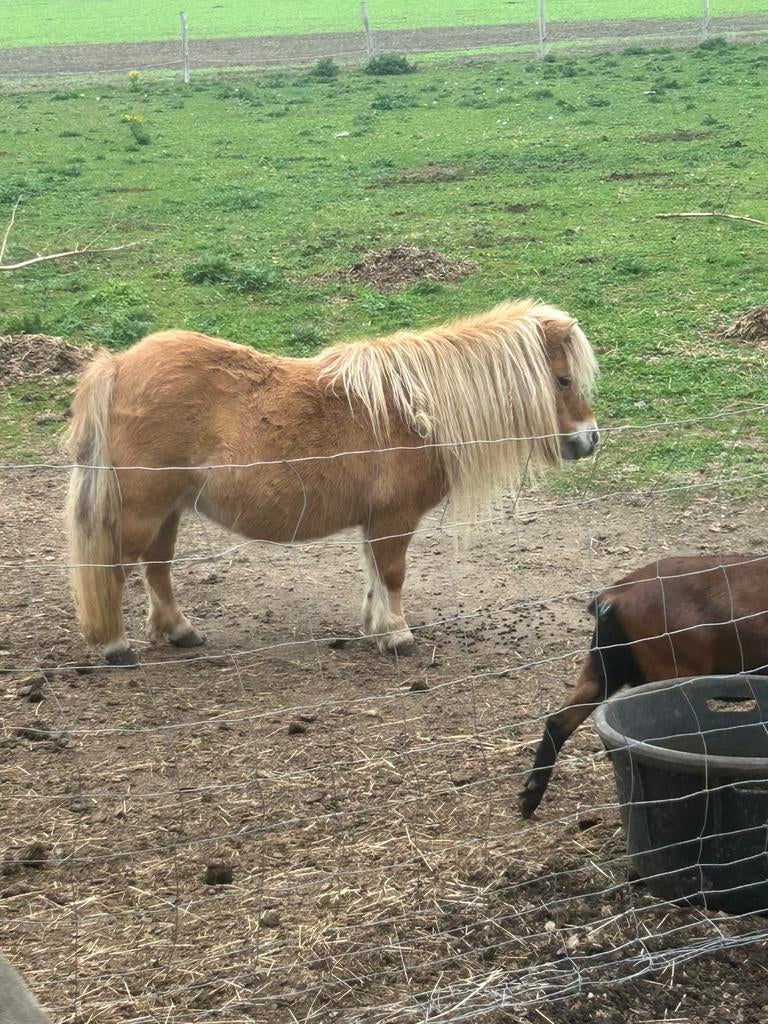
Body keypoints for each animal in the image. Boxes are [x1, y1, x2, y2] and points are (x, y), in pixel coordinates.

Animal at [65, 300, 599, 666]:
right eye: (564, 380)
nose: (589, 439)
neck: (417, 410)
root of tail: (118, 365)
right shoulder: (394, 520)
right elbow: (392, 574)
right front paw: (398, 635)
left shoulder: (376, 521)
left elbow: (374, 576)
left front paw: (377, 627)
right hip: (142, 510)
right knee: (116, 567)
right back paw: (117, 646)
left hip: (168, 509)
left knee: (157, 567)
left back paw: (179, 630)